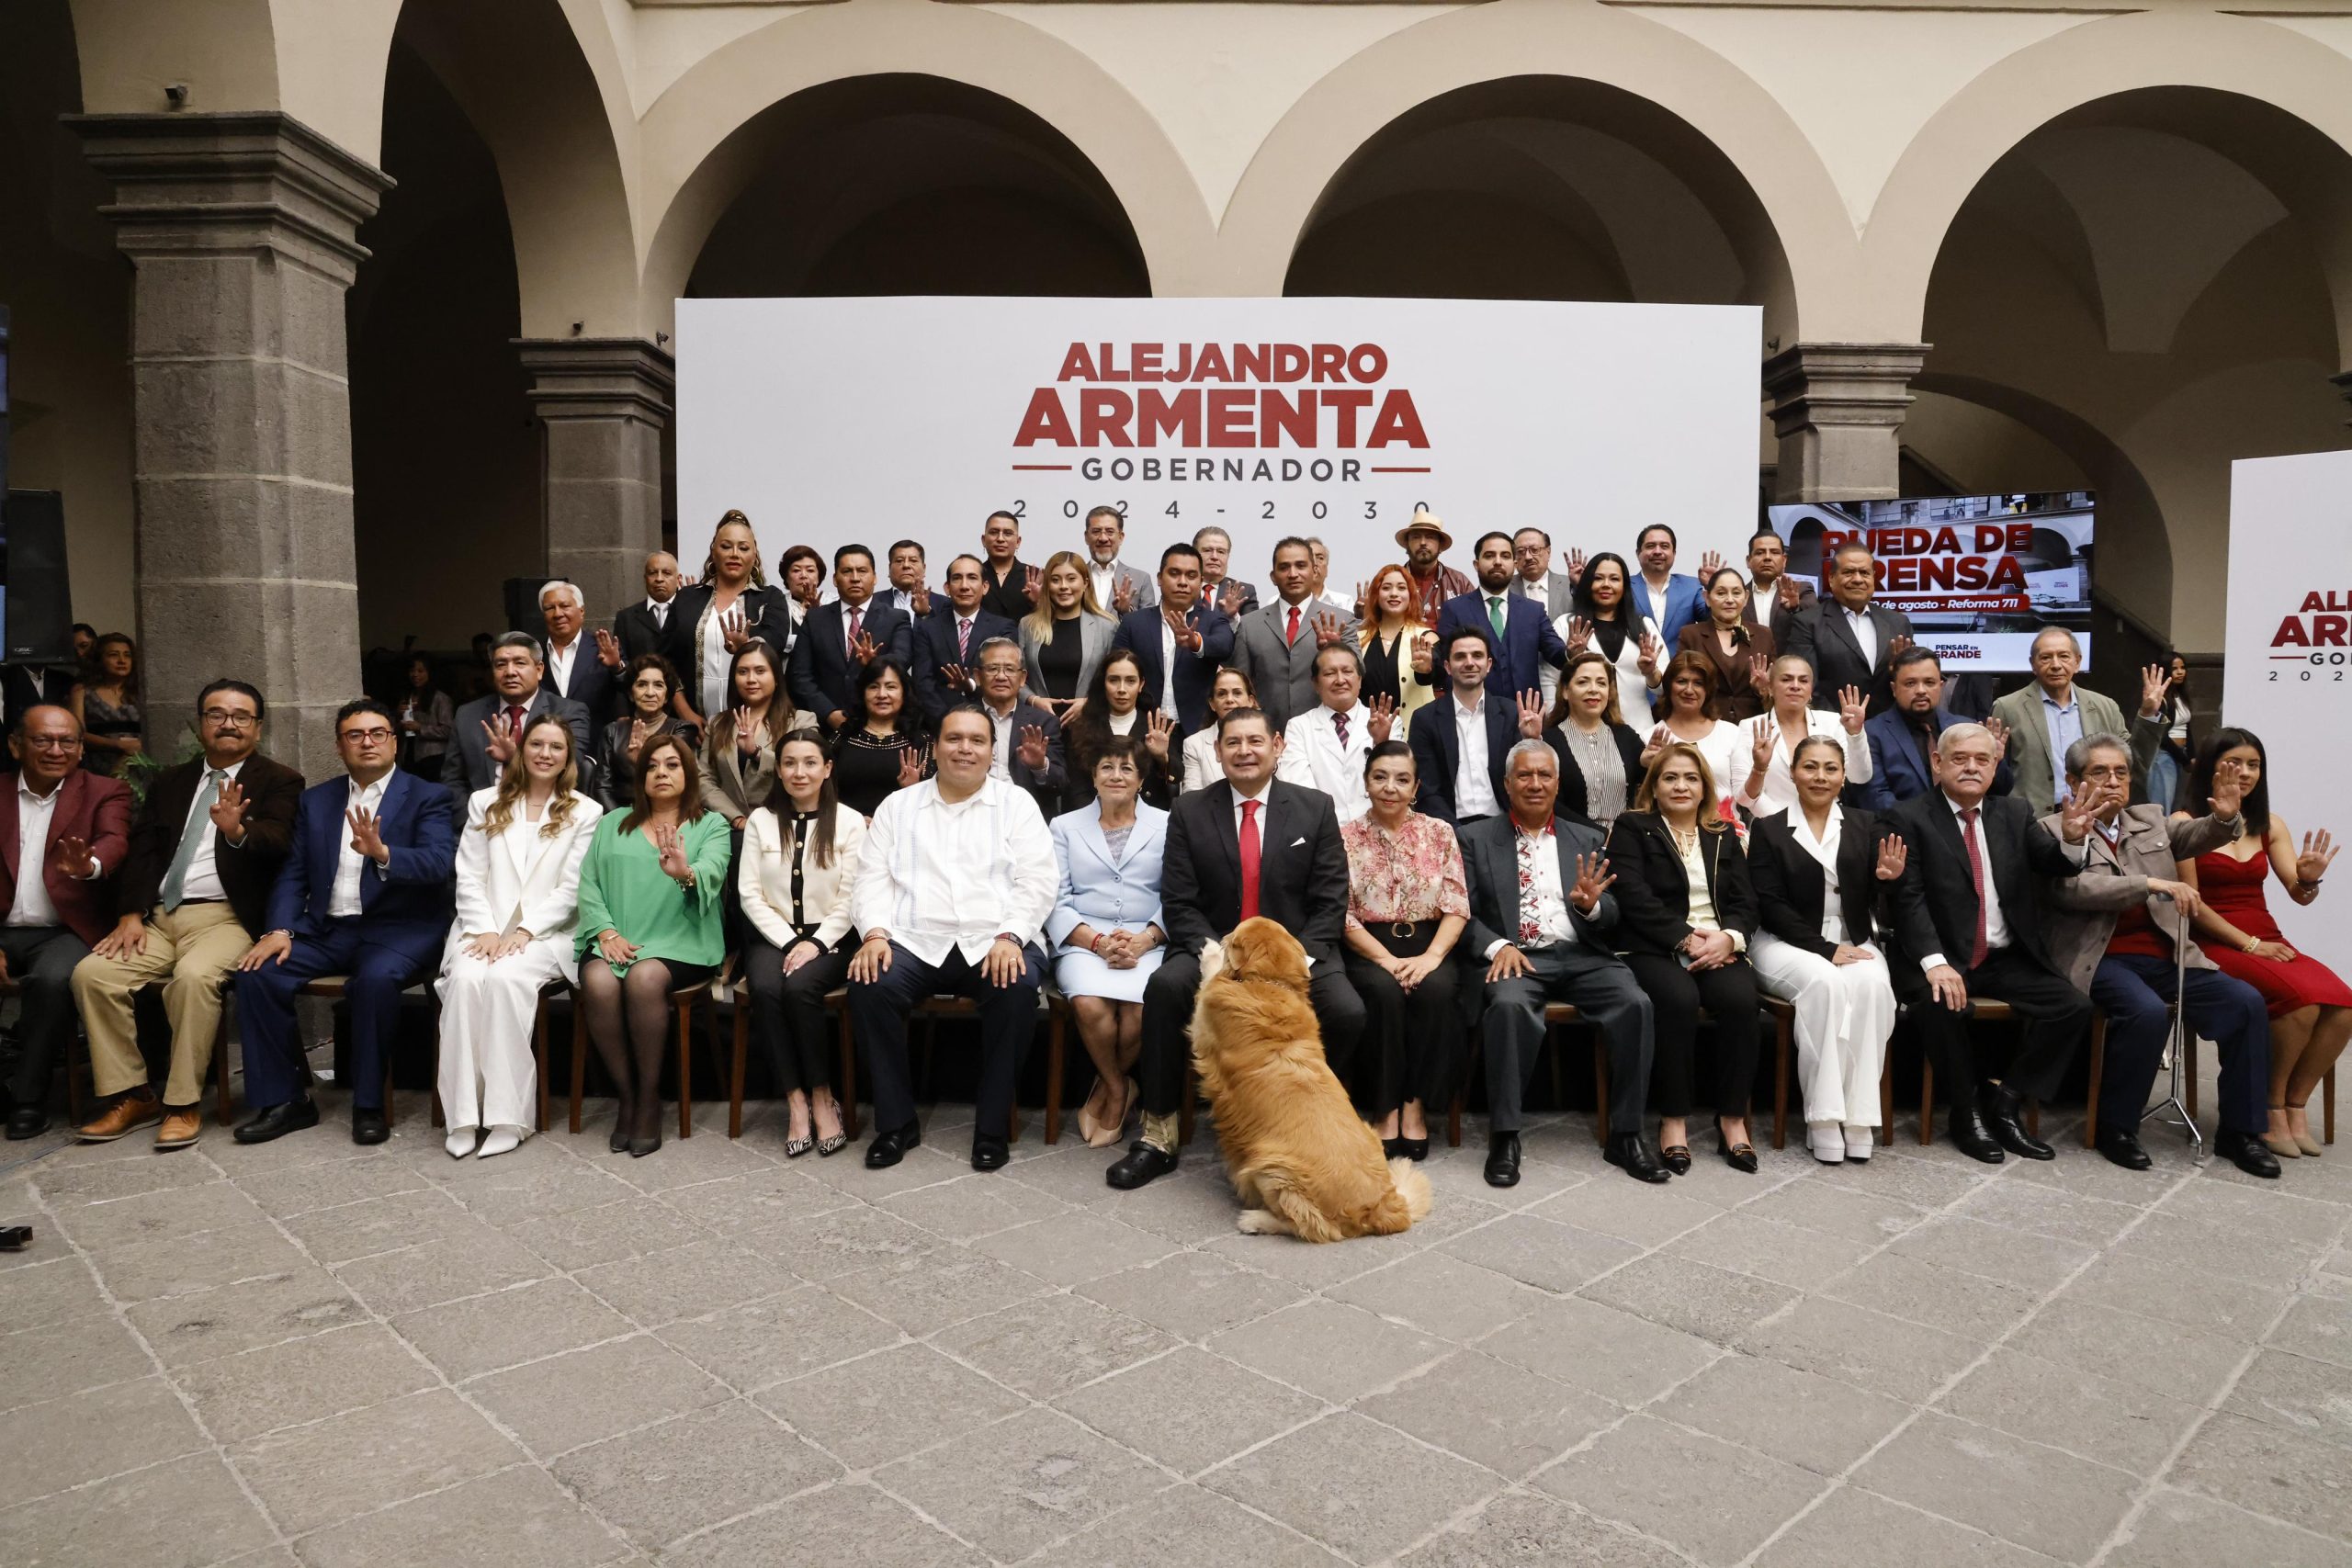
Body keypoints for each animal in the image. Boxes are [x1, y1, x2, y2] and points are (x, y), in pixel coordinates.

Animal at [1185, 921, 1420, 1241]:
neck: (1269, 983)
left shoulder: (1204, 1020)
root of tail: (1381, 1207)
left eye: (1235, 934)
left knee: (1309, 1225)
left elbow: (1210, 977)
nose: (1223, 936)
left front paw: (1210, 950)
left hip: (1272, 1170)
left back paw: (1255, 1219)